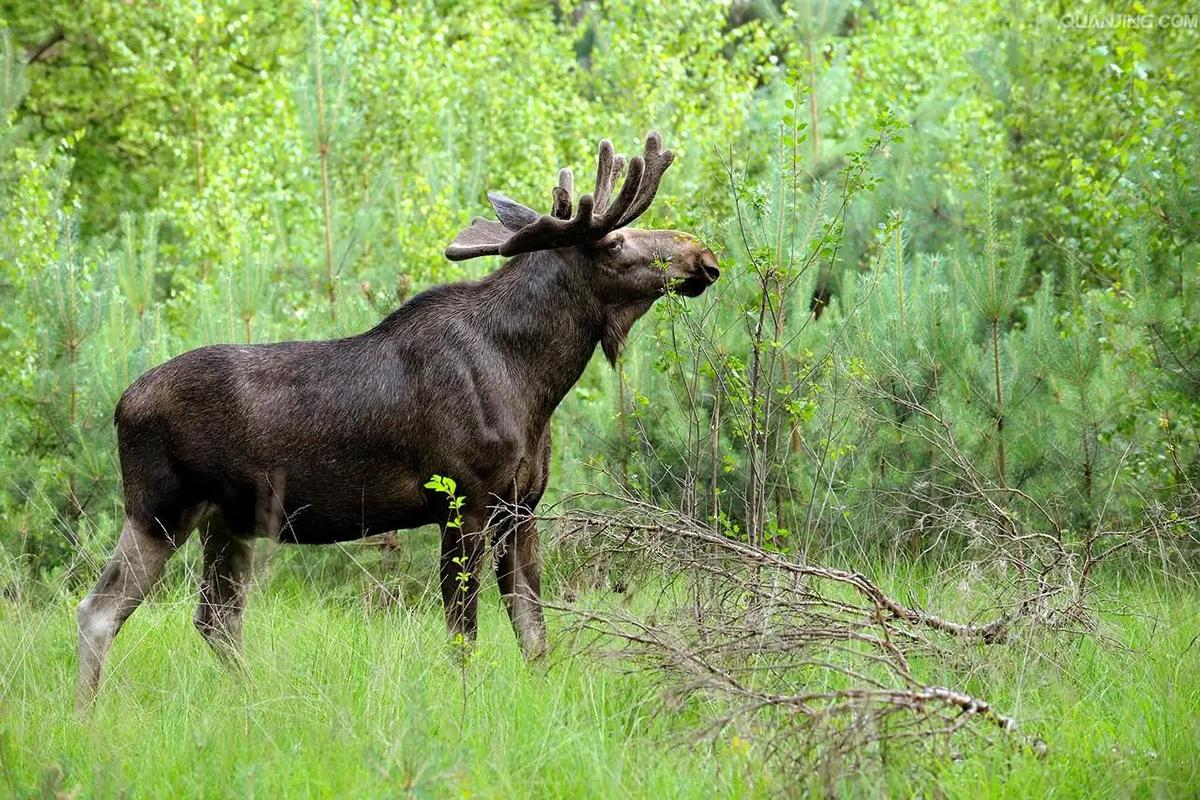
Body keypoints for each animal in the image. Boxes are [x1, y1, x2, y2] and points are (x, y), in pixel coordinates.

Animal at [77, 131, 720, 705]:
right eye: (614, 242)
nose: (704, 257)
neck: (534, 382)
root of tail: (120, 405)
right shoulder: (462, 500)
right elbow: (464, 635)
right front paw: (464, 707)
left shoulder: (522, 507)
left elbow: (535, 634)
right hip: (160, 507)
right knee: (99, 611)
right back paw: (88, 716)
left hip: (226, 520)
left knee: (214, 618)